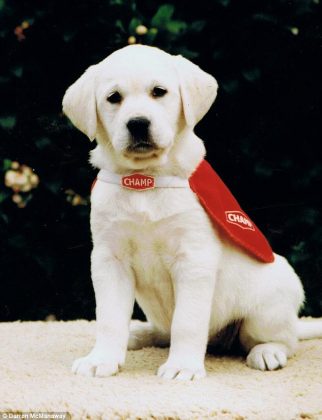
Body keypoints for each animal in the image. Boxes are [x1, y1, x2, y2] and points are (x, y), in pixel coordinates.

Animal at [62, 44, 322, 378]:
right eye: (113, 97)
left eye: (159, 92)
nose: (137, 123)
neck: (146, 180)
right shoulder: (110, 259)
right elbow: (109, 319)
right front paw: (101, 359)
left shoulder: (193, 258)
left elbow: (187, 322)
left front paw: (182, 367)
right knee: (163, 330)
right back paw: (139, 333)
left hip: (268, 306)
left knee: (284, 340)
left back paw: (268, 352)